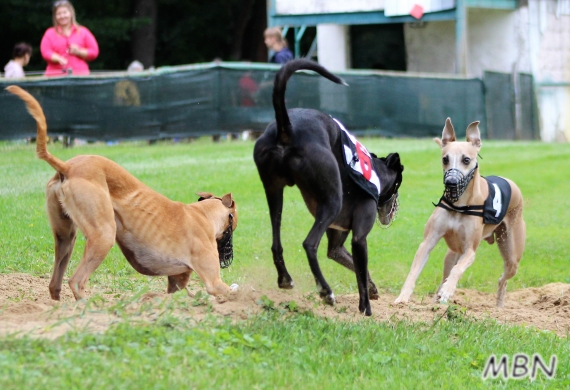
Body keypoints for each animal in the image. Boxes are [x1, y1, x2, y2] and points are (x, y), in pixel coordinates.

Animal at [7, 86, 237, 302]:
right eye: (233, 225)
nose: (227, 257)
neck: (203, 214)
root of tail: (68, 167)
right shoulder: (214, 282)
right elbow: (232, 292)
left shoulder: (177, 282)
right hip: (103, 235)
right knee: (76, 281)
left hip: (65, 238)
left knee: (55, 284)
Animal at [251, 59, 402, 316]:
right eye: (399, 184)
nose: (395, 210)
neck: (376, 172)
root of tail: (286, 128)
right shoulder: (359, 238)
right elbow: (360, 274)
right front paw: (366, 309)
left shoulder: (337, 245)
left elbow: (359, 269)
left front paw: (372, 289)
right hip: (331, 203)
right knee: (309, 244)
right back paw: (326, 291)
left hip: (274, 192)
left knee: (276, 242)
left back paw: (285, 278)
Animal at [394, 119, 524, 308]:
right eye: (445, 159)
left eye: (466, 159)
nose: (451, 182)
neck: (459, 206)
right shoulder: (428, 242)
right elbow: (415, 270)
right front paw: (402, 298)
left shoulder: (469, 251)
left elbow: (458, 269)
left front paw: (448, 291)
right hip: (452, 253)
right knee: (445, 275)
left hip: (512, 254)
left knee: (503, 279)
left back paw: (499, 305)